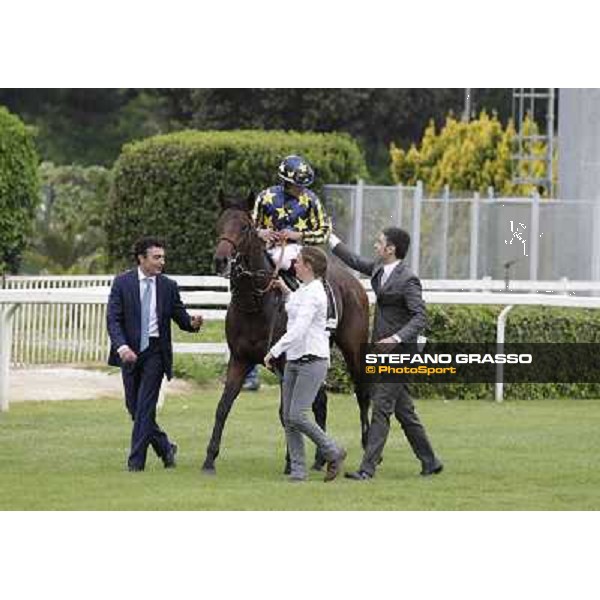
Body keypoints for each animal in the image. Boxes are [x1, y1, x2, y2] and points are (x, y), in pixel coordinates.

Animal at [202, 192, 370, 474]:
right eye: (219, 224)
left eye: (245, 227)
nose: (221, 260)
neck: (256, 303)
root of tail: (353, 282)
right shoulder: (239, 359)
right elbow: (223, 407)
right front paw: (209, 459)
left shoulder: (283, 363)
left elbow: (285, 412)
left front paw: (291, 462)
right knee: (321, 400)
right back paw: (320, 459)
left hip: (354, 350)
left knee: (362, 393)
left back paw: (368, 447)